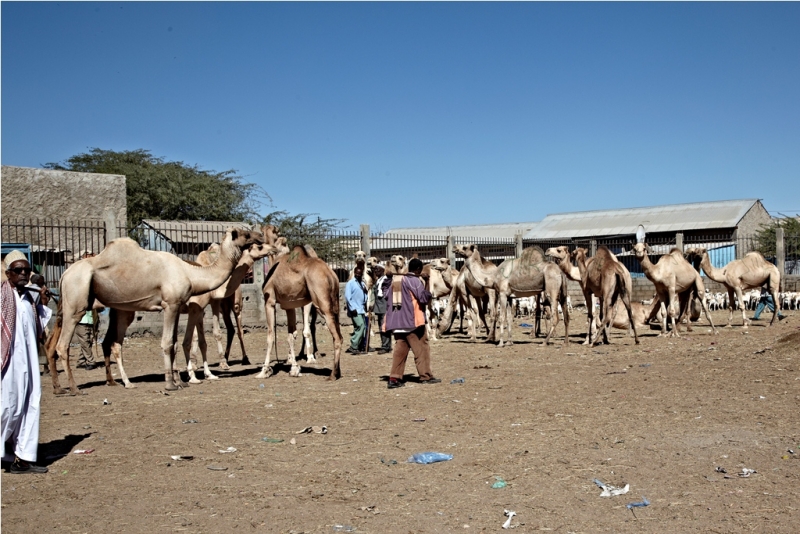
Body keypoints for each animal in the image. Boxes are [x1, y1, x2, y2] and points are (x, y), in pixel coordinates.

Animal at [46, 228, 266, 396]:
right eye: (246, 235)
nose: (261, 236)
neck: (192, 273)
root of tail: (65, 274)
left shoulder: (178, 305)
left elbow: (175, 343)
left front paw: (180, 381)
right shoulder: (171, 304)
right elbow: (168, 342)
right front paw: (171, 384)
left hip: (91, 307)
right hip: (76, 303)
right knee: (62, 345)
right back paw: (75, 388)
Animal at [181, 243, 282, 386]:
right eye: (260, 246)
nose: (274, 248)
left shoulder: (213, 302)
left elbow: (216, 333)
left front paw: (222, 363)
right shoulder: (204, 306)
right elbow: (198, 335)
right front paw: (195, 364)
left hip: (235, 306)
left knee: (239, 331)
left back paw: (243, 358)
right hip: (225, 308)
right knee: (231, 329)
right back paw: (227, 357)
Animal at [258, 226, 342, 382]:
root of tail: (331, 274)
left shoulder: (269, 301)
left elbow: (271, 335)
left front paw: (264, 371)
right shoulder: (289, 305)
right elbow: (291, 335)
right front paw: (294, 368)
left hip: (321, 304)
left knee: (337, 337)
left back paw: (332, 374)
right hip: (335, 304)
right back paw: (336, 371)